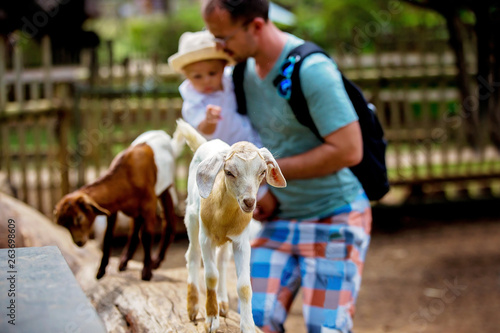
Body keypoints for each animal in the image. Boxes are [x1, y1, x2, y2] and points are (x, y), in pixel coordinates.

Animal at [54, 128, 184, 278]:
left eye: (79, 217)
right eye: (64, 224)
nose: (79, 242)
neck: (126, 176)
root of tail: (166, 138)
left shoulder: (149, 205)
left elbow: (146, 235)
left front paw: (146, 271)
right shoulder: (113, 209)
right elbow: (108, 236)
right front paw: (101, 271)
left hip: (166, 188)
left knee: (168, 222)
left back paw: (156, 261)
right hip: (136, 209)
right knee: (134, 229)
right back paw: (124, 261)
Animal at [175, 119, 286, 332]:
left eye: (262, 172)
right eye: (228, 172)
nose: (249, 202)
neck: (222, 214)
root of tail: (206, 142)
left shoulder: (241, 241)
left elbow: (244, 286)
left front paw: (248, 326)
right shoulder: (206, 238)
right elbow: (210, 276)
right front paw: (211, 319)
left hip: (226, 241)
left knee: (222, 261)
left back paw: (223, 304)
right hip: (192, 220)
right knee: (192, 255)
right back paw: (193, 307)